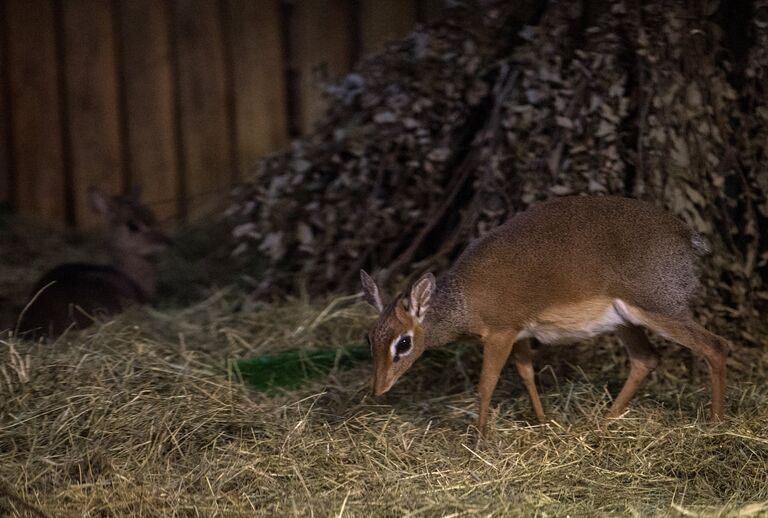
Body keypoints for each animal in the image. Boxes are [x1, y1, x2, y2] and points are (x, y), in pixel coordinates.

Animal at [362, 197, 732, 432]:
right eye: (370, 338)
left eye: (404, 343)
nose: (377, 388)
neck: (464, 301)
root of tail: (689, 237)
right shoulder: (520, 336)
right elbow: (527, 374)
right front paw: (542, 423)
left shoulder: (501, 332)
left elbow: (486, 384)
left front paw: (479, 439)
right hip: (626, 321)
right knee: (646, 359)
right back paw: (602, 424)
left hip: (660, 309)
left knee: (715, 346)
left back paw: (715, 425)